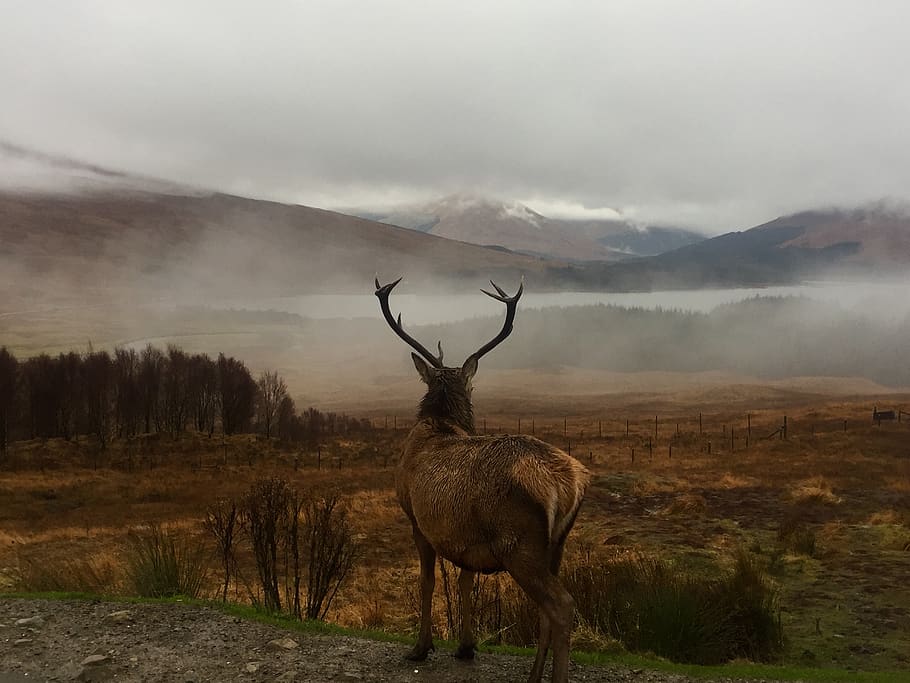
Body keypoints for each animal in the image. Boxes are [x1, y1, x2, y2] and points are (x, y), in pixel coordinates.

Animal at [375, 276, 591, 683]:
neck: (439, 424)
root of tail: (569, 485)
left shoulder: (416, 519)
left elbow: (427, 582)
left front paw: (420, 647)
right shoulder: (465, 537)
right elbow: (465, 581)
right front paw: (465, 646)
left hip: (518, 543)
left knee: (562, 605)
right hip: (556, 545)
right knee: (548, 610)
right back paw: (533, 676)